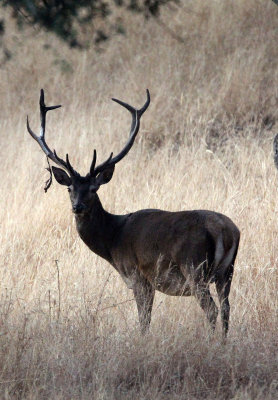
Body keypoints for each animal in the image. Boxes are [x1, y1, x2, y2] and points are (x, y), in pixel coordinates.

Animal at [27, 90, 240, 338]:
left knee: (212, 309)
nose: (77, 207)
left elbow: (144, 321)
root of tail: (226, 231)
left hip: (194, 268)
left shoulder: (138, 276)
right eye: (70, 189)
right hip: (227, 271)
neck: (112, 242)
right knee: (226, 308)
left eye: (94, 189)